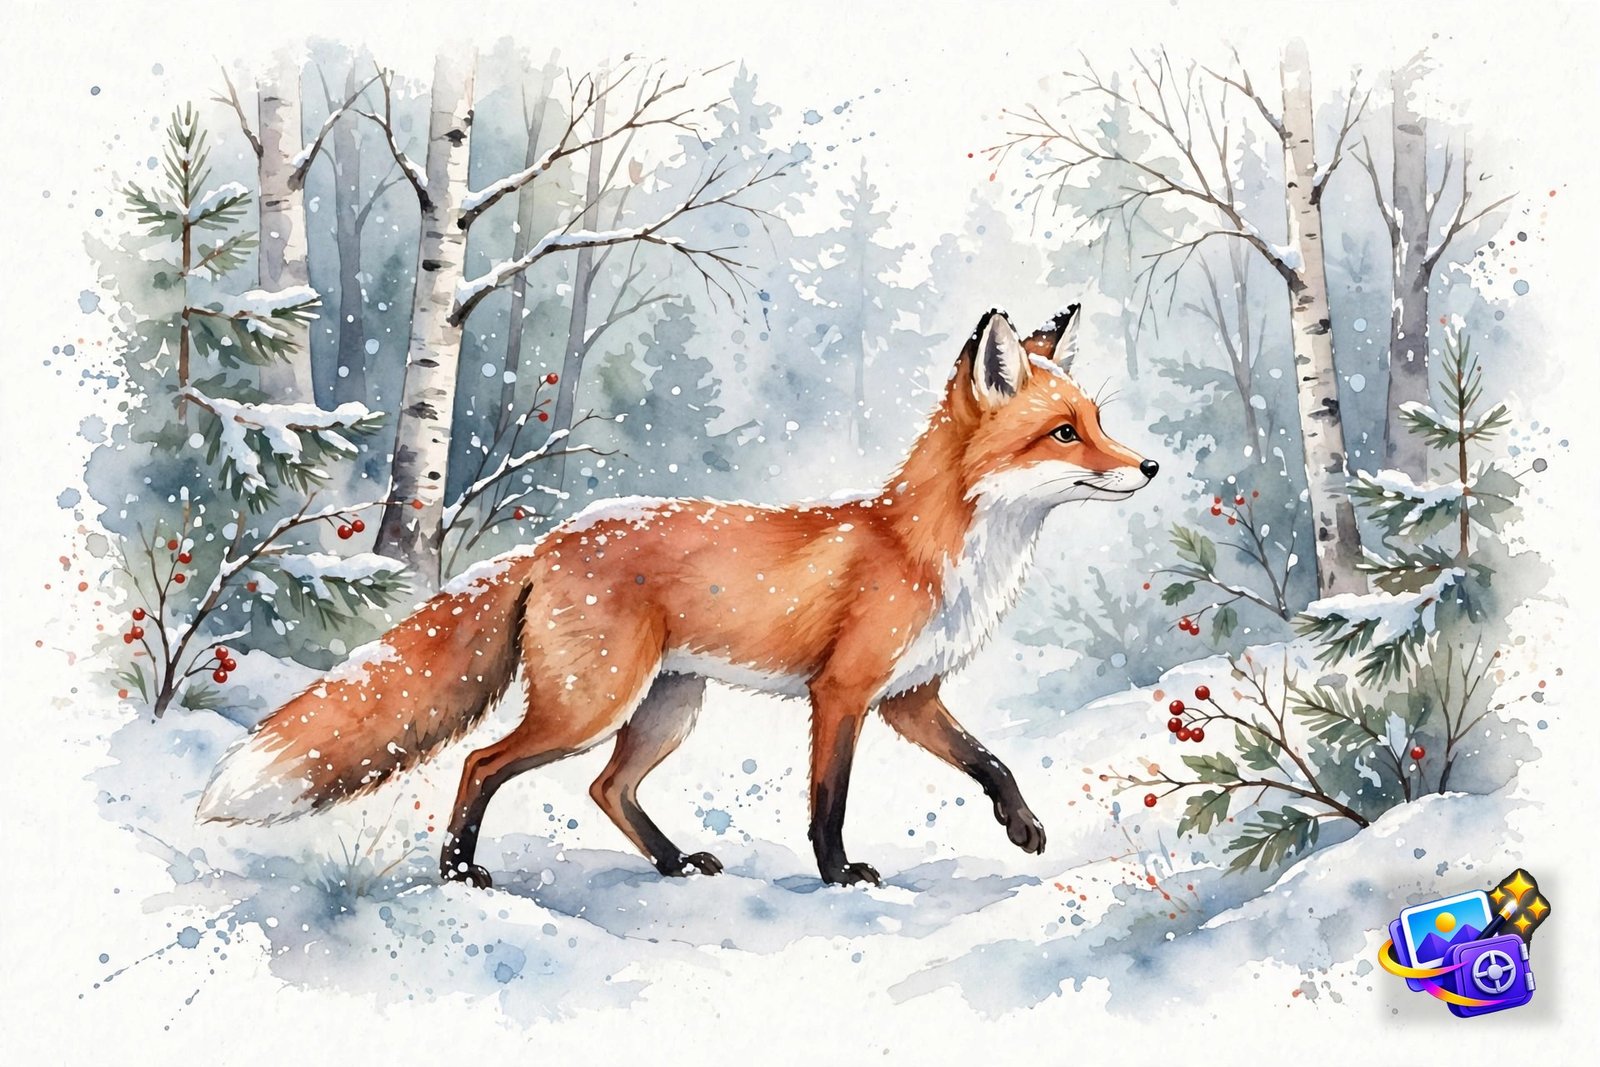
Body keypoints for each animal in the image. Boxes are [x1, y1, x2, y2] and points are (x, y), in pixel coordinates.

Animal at [198, 304, 1157, 888]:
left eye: (1099, 422)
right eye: (1064, 433)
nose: (1149, 466)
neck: (923, 548)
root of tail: (552, 539)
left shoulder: (909, 696)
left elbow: (991, 761)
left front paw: (1024, 828)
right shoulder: (842, 693)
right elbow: (829, 802)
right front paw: (839, 876)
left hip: (665, 708)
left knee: (607, 790)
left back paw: (670, 861)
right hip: (592, 704)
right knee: (482, 763)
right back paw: (461, 871)